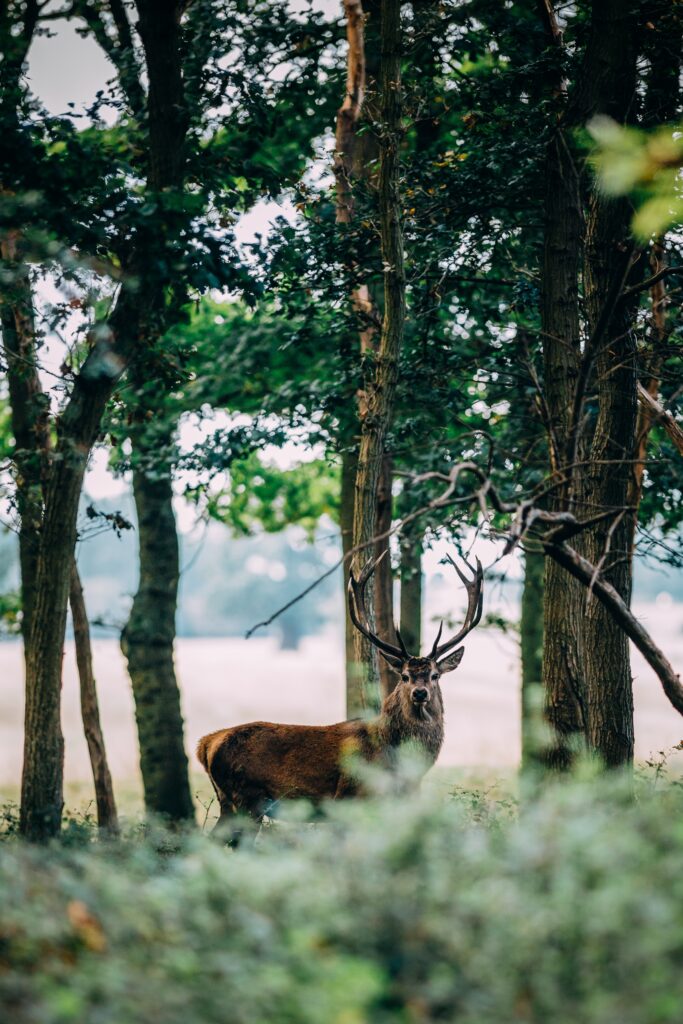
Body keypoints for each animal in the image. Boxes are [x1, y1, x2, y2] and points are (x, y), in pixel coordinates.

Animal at [197, 552, 483, 839]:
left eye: (435, 675)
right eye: (404, 676)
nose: (420, 693)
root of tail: (206, 744)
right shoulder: (350, 798)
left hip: (228, 800)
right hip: (247, 797)